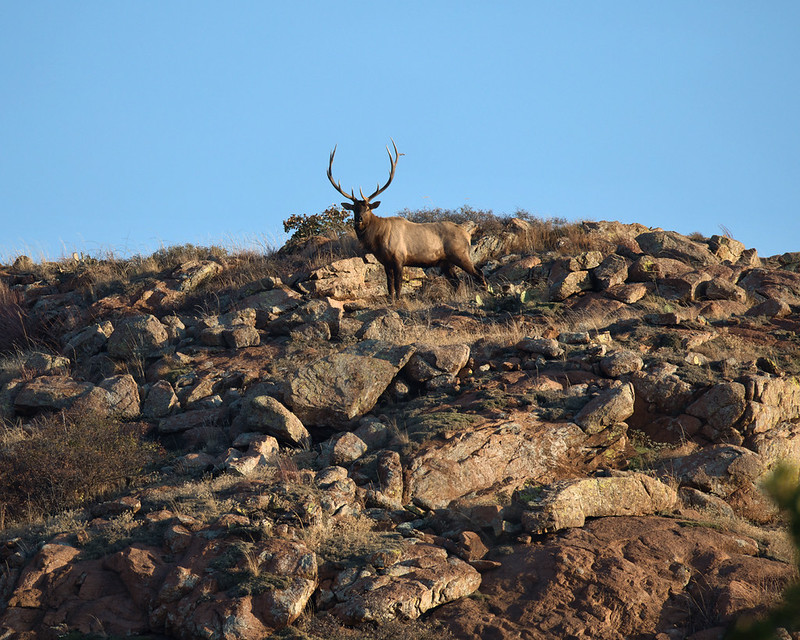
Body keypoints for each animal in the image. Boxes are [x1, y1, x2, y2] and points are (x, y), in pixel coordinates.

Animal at [327, 140, 486, 301]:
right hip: (446, 262)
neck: (377, 239)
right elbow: (389, 285)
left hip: (460, 254)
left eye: (368, 208)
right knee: (456, 282)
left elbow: (398, 284)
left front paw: (398, 299)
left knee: (478, 273)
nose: (358, 220)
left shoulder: (399, 257)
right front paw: (391, 300)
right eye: (353, 209)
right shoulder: (385, 262)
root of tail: (467, 234)